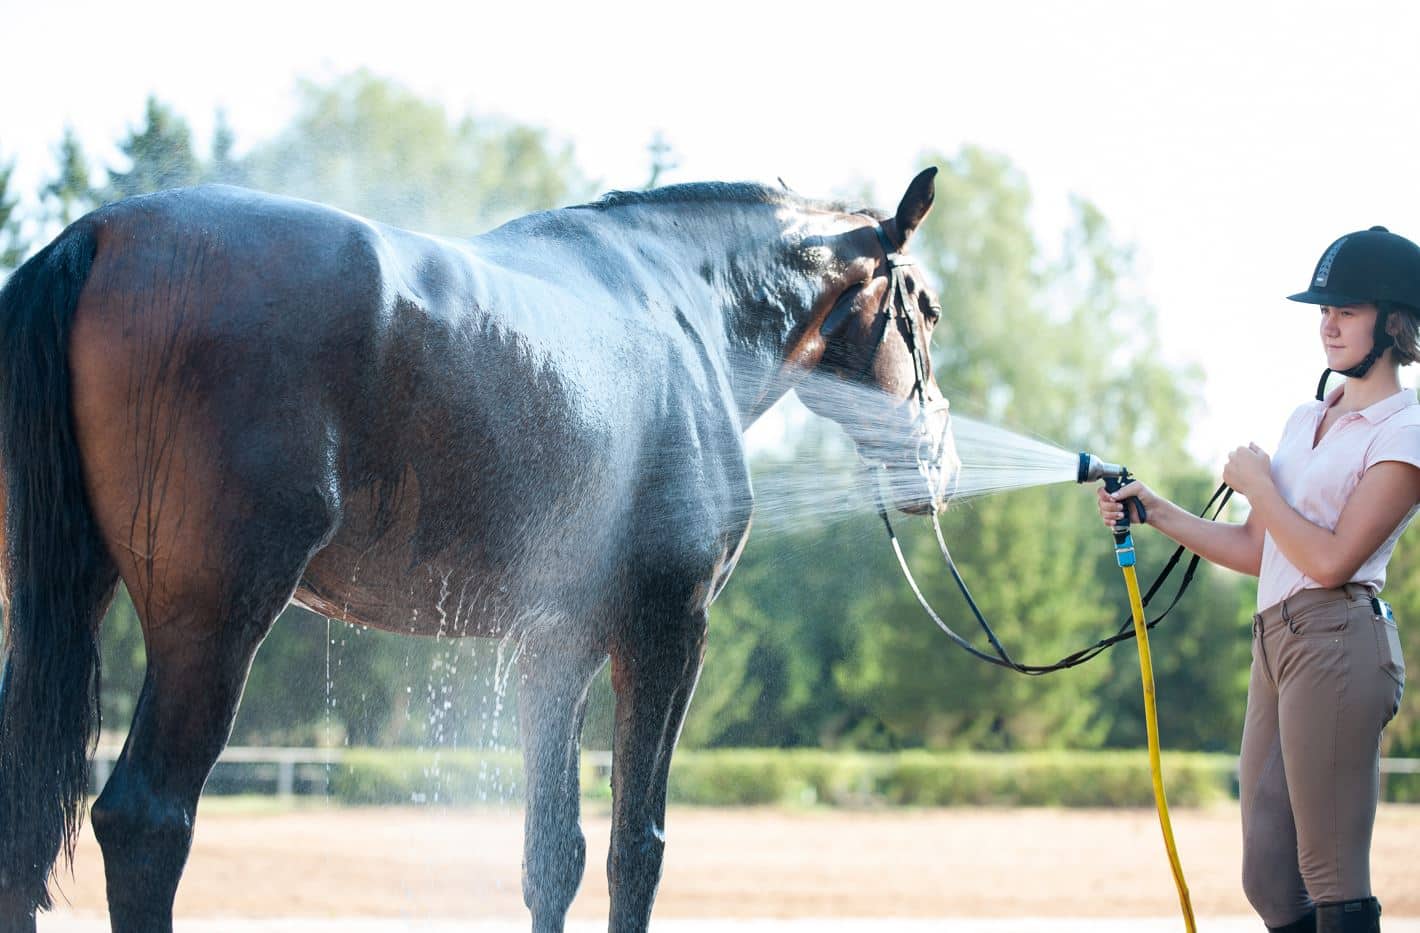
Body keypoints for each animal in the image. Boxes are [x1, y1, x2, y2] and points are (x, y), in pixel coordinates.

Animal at [0, 168, 959, 931]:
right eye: (928, 309)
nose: (943, 465)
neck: (687, 314)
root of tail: (100, 235)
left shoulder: (558, 646)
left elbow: (554, 853)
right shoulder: (667, 633)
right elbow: (636, 848)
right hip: (213, 622)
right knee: (146, 821)